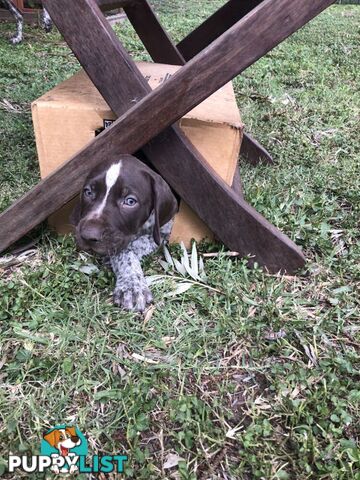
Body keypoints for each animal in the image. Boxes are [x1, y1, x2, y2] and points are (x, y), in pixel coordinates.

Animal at [71, 154, 178, 312]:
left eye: (130, 201)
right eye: (88, 192)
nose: (88, 235)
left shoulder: (165, 231)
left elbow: (133, 246)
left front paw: (132, 286)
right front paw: (131, 285)